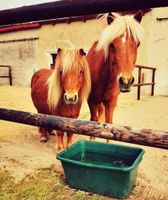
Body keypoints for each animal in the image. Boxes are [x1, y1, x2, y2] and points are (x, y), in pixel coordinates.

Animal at [86, 11, 144, 141]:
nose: (126, 82)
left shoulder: (111, 102)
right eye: (111, 45)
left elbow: (109, 125)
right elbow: (93, 124)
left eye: (138, 44)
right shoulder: (92, 101)